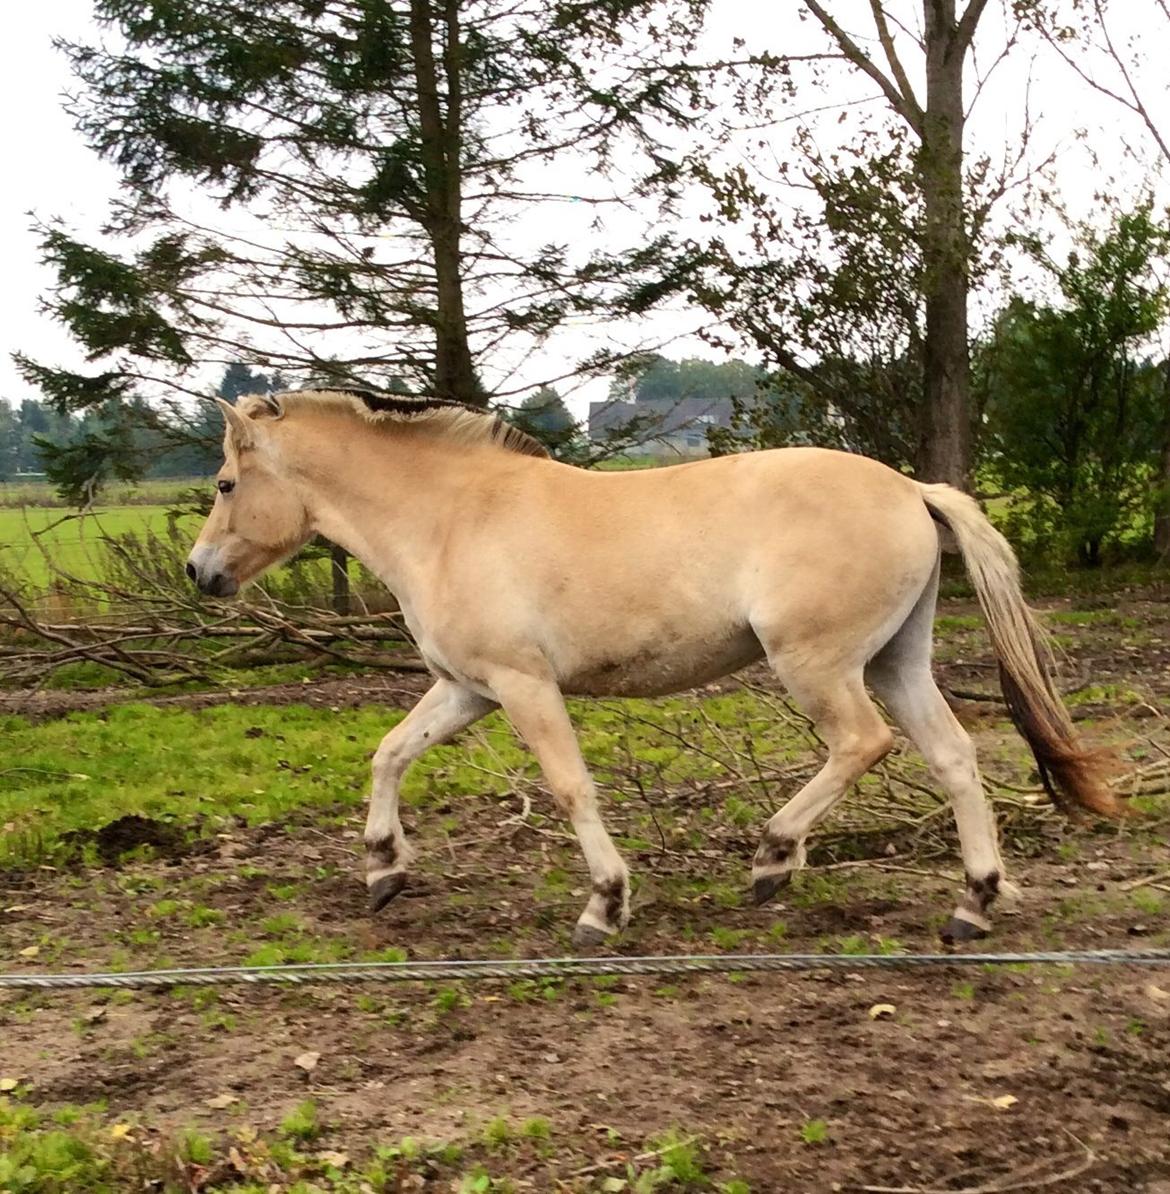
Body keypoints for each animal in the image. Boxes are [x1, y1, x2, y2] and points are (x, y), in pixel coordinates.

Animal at [187, 386, 1117, 945]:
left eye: (227, 483)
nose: (199, 574)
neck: (451, 519)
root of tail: (910, 490)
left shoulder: (523, 686)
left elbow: (570, 789)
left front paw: (604, 905)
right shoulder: (466, 690)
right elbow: (389, 754)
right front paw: (383, 870)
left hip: (816, 666)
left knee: (863, 744)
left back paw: (774, 858)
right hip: (896, 660)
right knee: (953, 757)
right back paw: (974, 903)